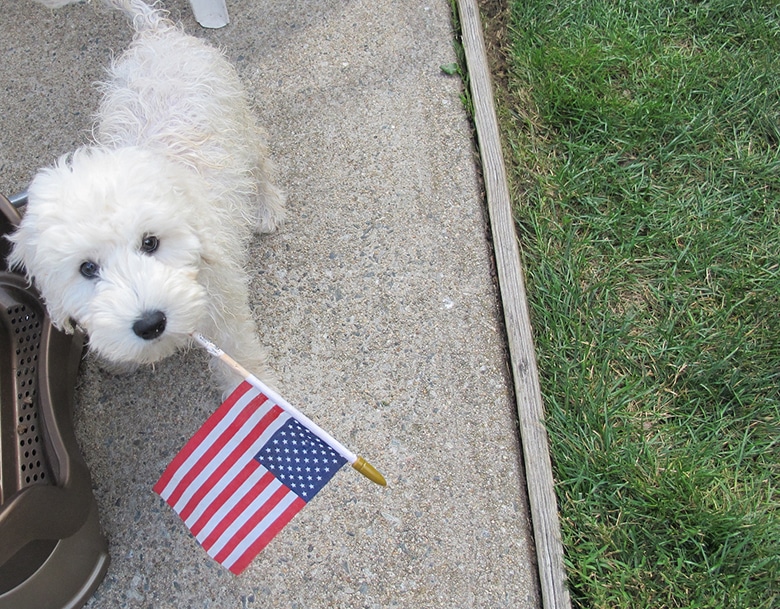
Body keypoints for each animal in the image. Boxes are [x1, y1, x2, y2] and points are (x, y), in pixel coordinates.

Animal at [9, 0, 284, 390]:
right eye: (87, 268)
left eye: (150, 242)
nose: (150, 323)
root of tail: (155, 32)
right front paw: (120, 358)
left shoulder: (223, 301)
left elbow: (239, 357)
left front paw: (254, 390)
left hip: (240, 124)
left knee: (259, 157)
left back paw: (266, 205)